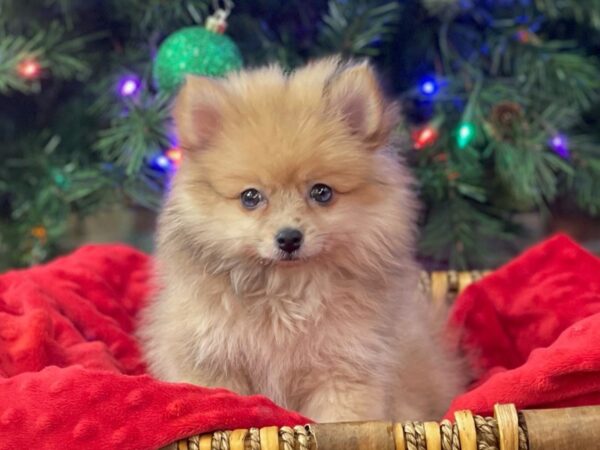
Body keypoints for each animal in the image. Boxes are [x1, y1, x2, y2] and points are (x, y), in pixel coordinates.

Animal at [139, 56, 464, 422]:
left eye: (321, 192)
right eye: (250, 197)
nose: (289, 238)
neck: (285, 292)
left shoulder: (346, 368)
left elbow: (342, 422)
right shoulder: (209, 358)